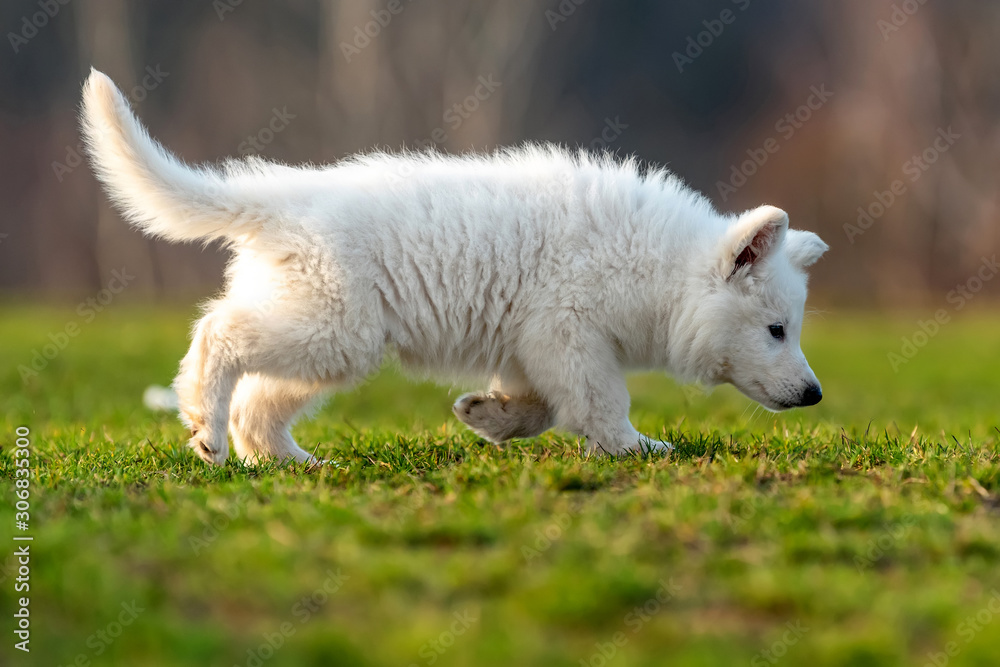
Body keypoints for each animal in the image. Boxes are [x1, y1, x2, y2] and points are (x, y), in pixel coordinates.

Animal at [80, 68, 828, 464]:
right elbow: (598, 400)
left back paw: (288, 460)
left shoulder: (533, 343)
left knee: (260, 400)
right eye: (776, 330)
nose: (815, 394)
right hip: (330, 327)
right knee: (218, 334)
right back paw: (204, 426)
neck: (656, 265)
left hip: (330, 340)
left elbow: (542, 407)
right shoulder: (567, 330)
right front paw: (634, 447)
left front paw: (486, 415)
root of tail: (283, 200)